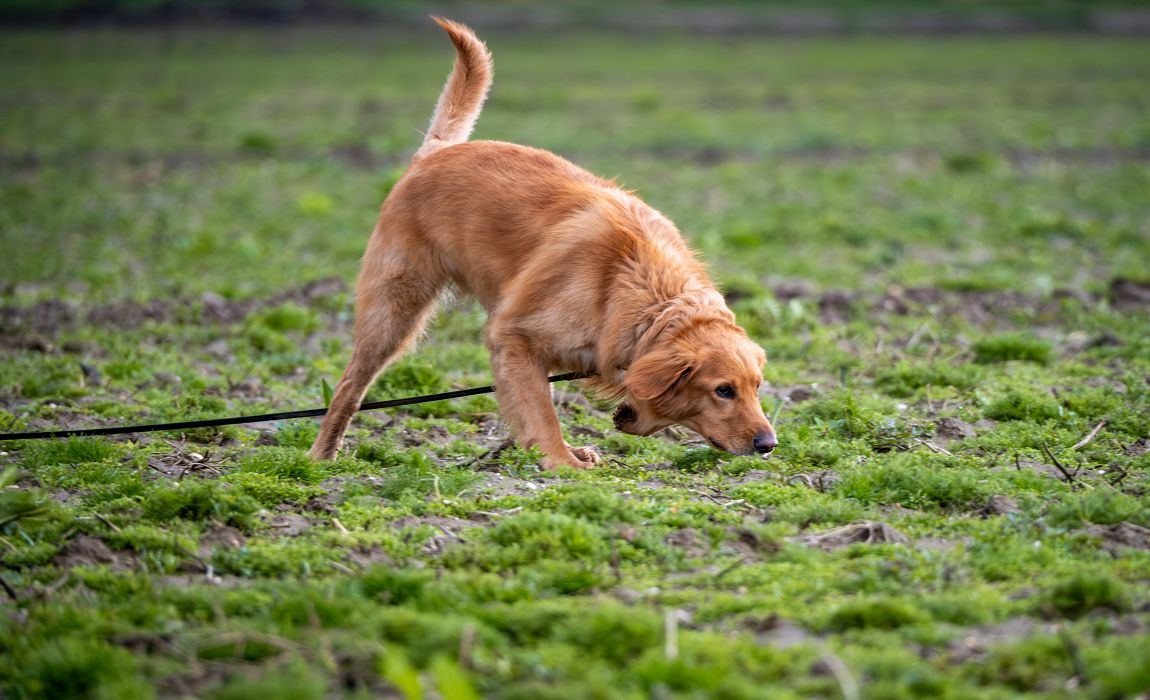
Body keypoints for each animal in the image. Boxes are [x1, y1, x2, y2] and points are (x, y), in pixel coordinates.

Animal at [305, 16, 777, 466]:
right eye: (723, 390)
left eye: (757, 387)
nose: (769, 444)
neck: (639, 295)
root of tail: (434, 152)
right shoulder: (513, 337)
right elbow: (541, 413)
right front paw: (562, 463)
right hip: (392, 314)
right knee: (348, 388)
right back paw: (322, 457)